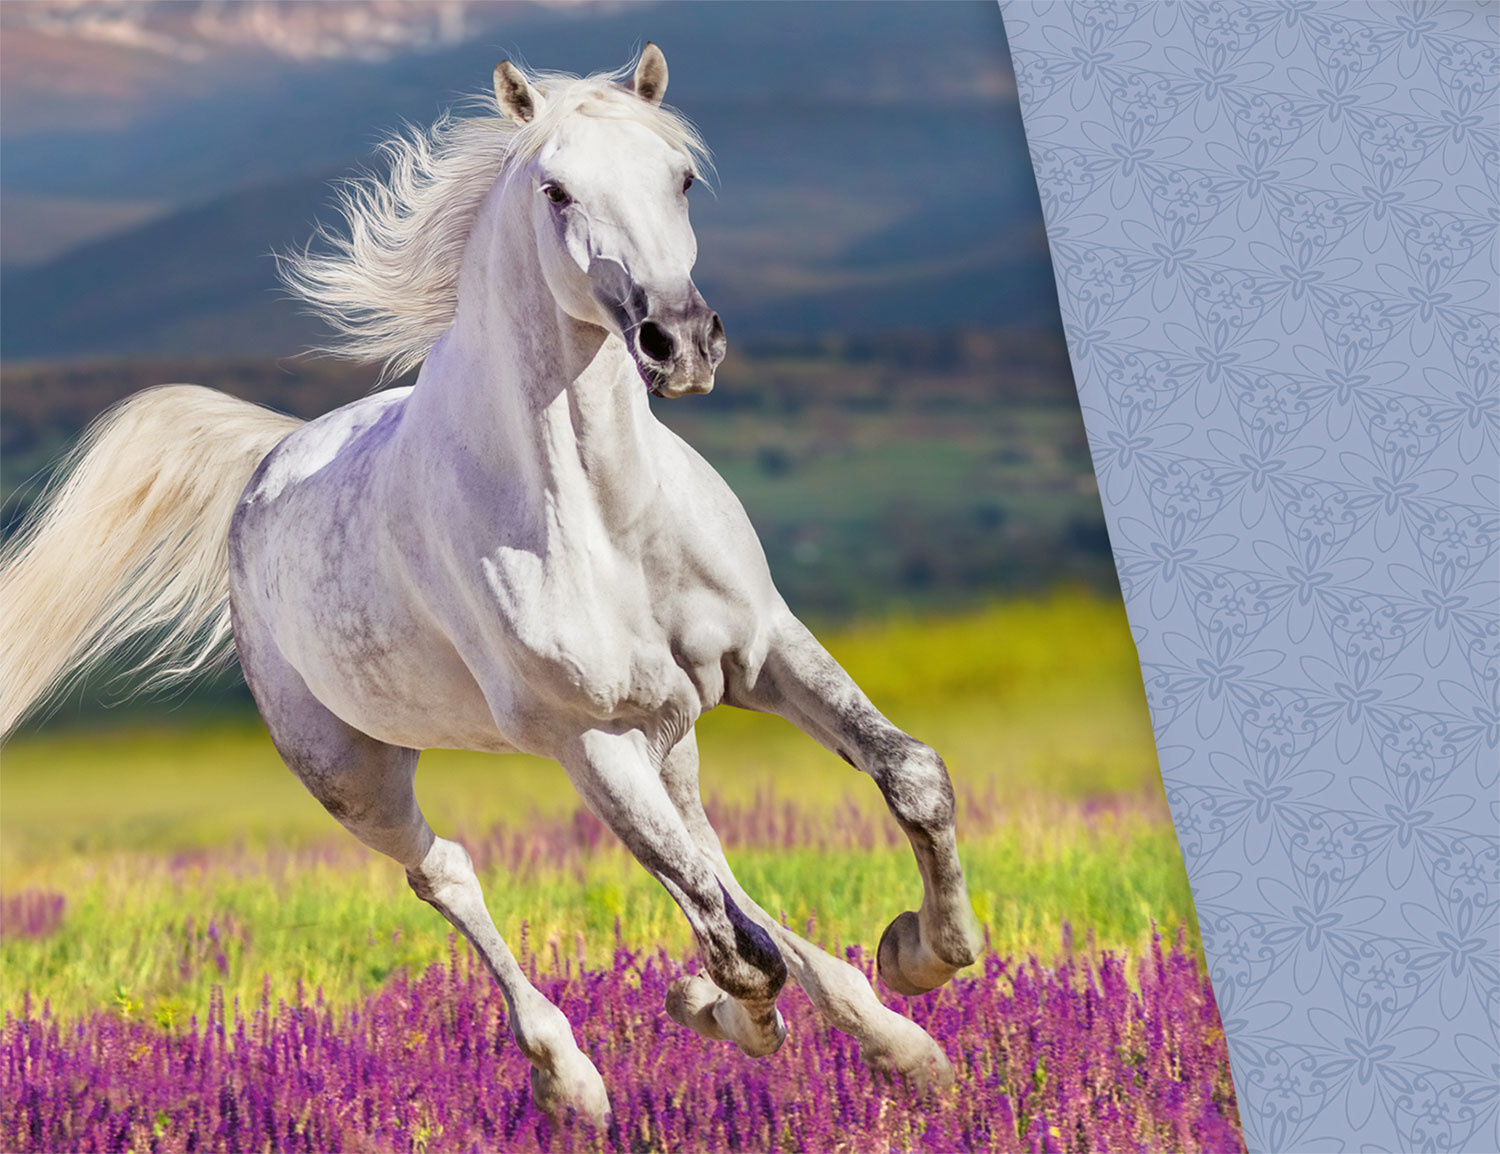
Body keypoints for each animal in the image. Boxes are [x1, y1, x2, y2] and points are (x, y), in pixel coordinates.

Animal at [0, 46, 983, 1123]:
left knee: (710, 855)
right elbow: (731, 944)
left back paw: (891, 1036)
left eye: (681, 177)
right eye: (557, 191)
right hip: (357, 774)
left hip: (668, 730)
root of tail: (267, 460)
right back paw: (573, 1078)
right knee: (452, 876)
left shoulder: (764, 650)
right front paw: (731, 1011)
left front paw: (920, 957)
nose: (680, 341)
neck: (604, 515)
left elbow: (908, 777)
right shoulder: (587, 737)